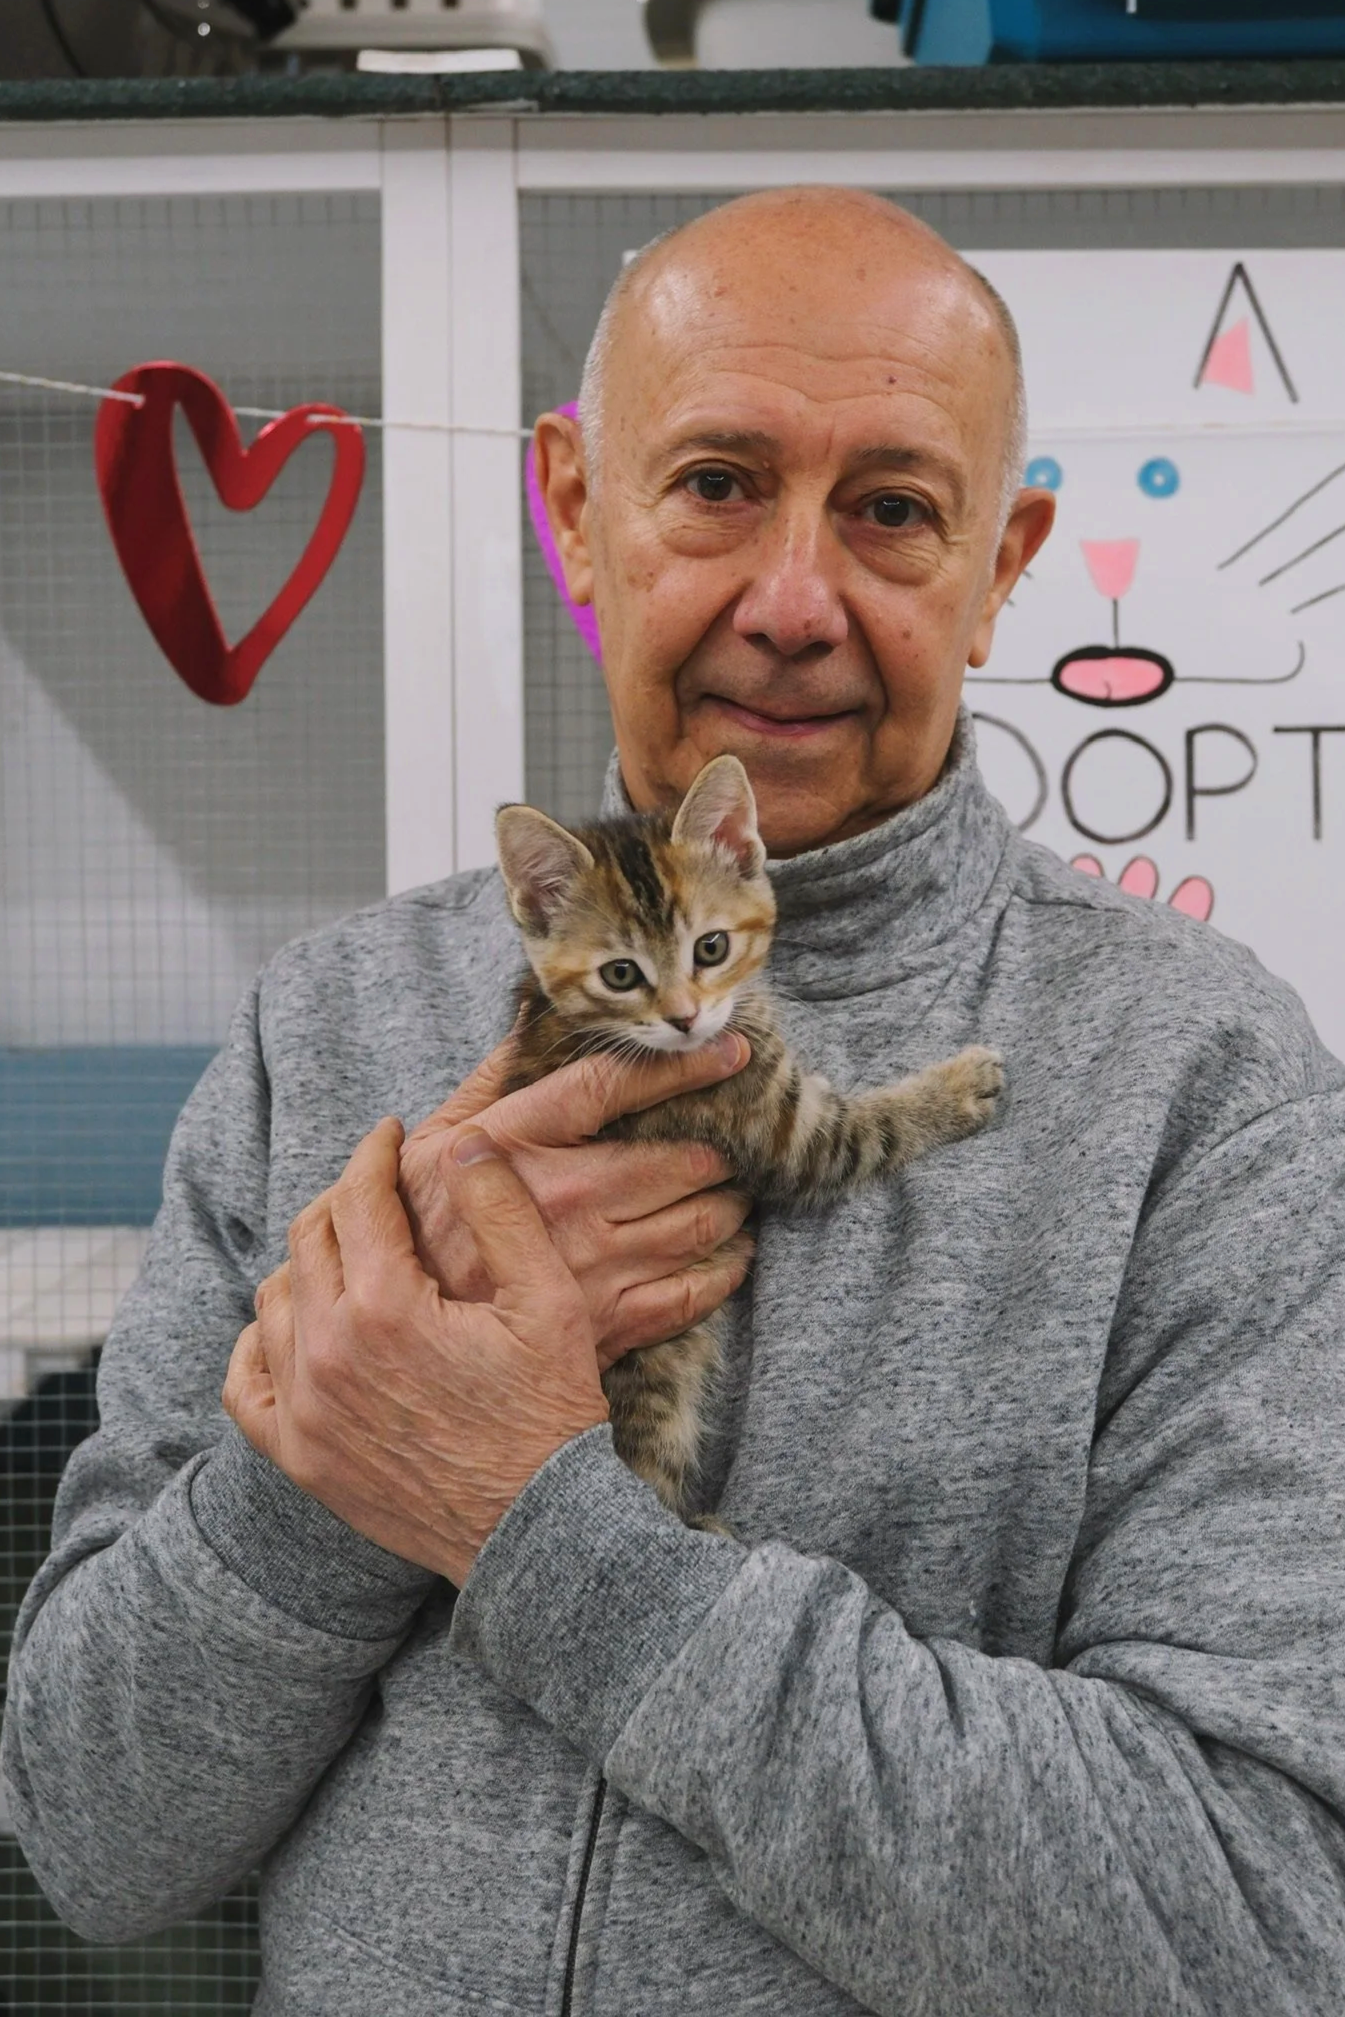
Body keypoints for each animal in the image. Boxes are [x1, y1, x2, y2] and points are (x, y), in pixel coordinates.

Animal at [494, 755, 1005, 1525]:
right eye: (621, 973)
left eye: (711, 948)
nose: (683, 1018)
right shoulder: (789, 1135)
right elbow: (876, 1128)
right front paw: (956, 1085)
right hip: (658, 1381)